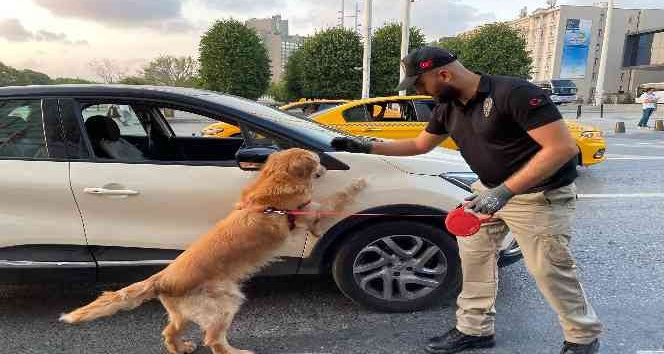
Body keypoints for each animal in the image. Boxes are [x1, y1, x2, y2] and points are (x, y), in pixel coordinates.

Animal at [61, 149, 368, 354]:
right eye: (317, 161)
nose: (326, 168)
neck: (274, 182)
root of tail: (161, 279)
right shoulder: (311, 213)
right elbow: (337, 197)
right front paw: (358, 183)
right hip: (225, 302)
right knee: (214, 341)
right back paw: (236, 353)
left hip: (183, 312)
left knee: (169, 331)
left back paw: (181, 347)